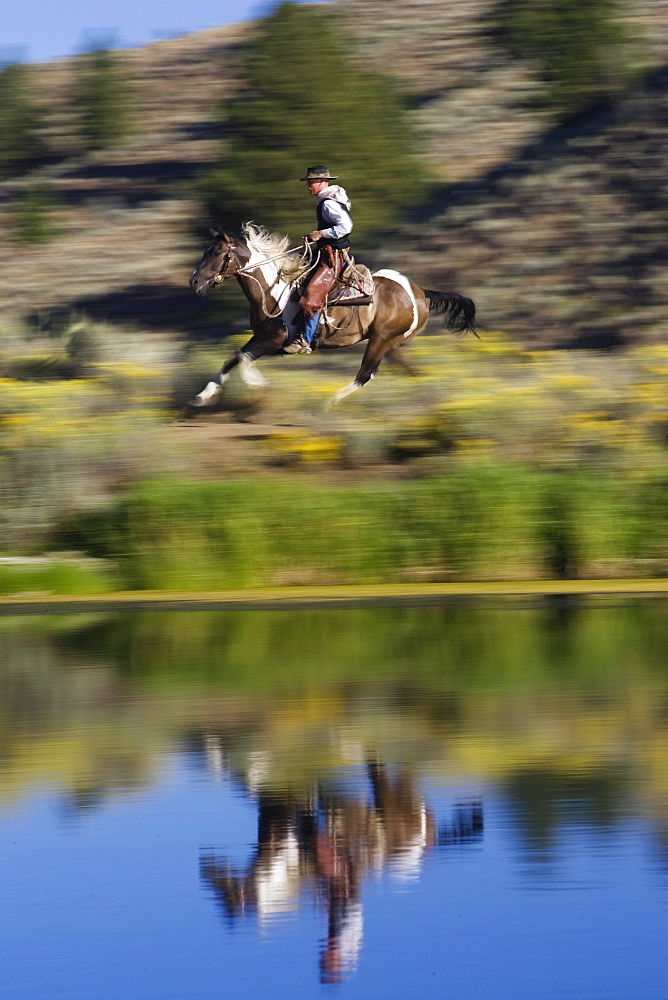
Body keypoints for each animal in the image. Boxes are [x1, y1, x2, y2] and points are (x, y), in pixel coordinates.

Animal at [188, 225, 474, 408]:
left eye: (218, 253)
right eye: (206, 251)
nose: (194, 282)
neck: (273, 291)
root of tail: (419, 292)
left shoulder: (273, 341)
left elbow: (243, 360)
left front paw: (259, 385)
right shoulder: (262, 339)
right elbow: (234, 357)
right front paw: (204, 394)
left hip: (381, 341)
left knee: (364, 375)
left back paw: (326, 404)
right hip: (396, 345)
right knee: (410, 371)